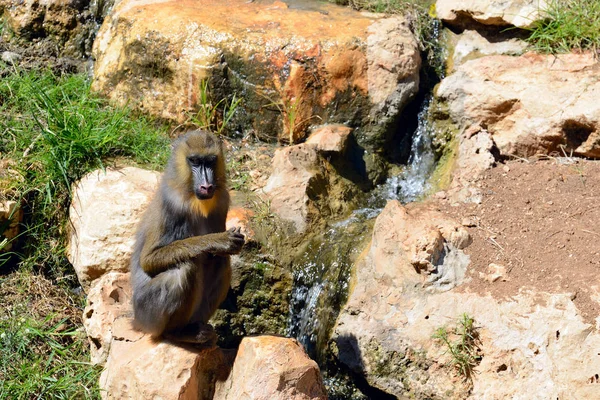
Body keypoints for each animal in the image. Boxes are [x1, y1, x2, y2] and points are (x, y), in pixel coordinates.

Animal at [131, 130, 244, 346]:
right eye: (195, 161)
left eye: (210, 161)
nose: (207, 186)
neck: (192, 197)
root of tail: (136, 320)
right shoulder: (171, 205)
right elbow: (148, 260)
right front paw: (219, 240)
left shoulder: (221, 201)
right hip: (148, 313)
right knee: (184, 269)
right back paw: (177, 333)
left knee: (221, 261)